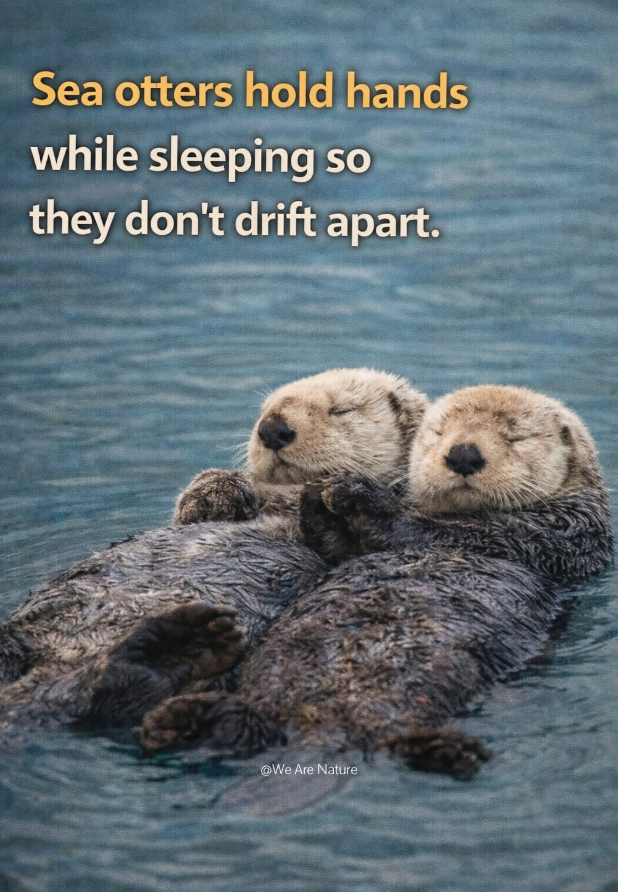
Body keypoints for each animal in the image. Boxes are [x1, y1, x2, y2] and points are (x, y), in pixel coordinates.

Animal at [0, 369, 428, 733]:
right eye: (265, 410)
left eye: (341, 410)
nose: (272, 428)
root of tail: (54, 666)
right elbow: (192, 509)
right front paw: (217, 492)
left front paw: (330, 502)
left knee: (111, 691)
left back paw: (177, 644)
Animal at [139, 386, 613, 778]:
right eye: (438, 433)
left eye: (517, 437)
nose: (462, 454)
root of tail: (319, 722)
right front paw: (318, 498)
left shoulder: (561, 535)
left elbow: (458, 533)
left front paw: (359, 494)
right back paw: (180, 717)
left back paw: (446, 752)